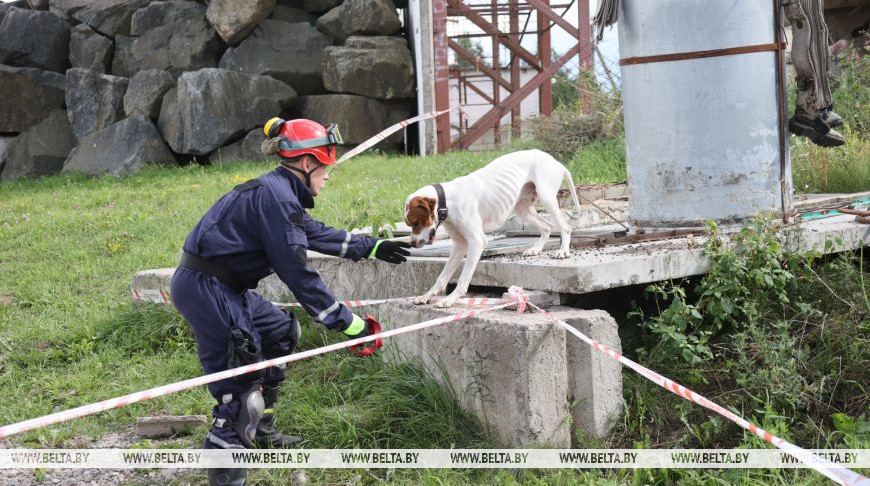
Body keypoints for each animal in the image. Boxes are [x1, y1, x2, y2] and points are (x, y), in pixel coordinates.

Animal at [406, 149, 584, 308]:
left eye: (415, 223)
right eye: (410, 224)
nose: (412, 244)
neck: (448, 201)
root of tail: (555, 161)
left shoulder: (476, 242)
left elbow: (463, 278)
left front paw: (450, 299)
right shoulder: (459, 245)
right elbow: (442, 277)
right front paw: (427, 296)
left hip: (546, 197)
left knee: (565, 227)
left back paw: (563, 251)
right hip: (522, 208)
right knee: (547, 226)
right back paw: (536, 249)